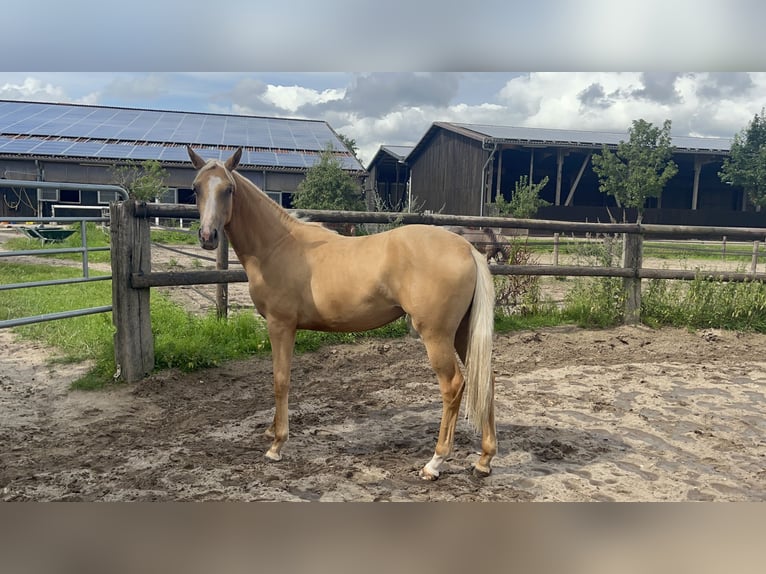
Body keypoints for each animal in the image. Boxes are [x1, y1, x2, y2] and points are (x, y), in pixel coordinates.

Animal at [186, 146, 498, 480]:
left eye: (228, 189)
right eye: (196, 188)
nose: (208, 236)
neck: (278, 245)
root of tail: (467, 248)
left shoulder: (281, 325)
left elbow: (280, 379)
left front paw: (277, 444)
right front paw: (271, 431)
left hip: (436, 335)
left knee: (453, 386)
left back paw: (435, 462)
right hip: (463, 332)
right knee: (486, 380)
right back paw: (484, 460)